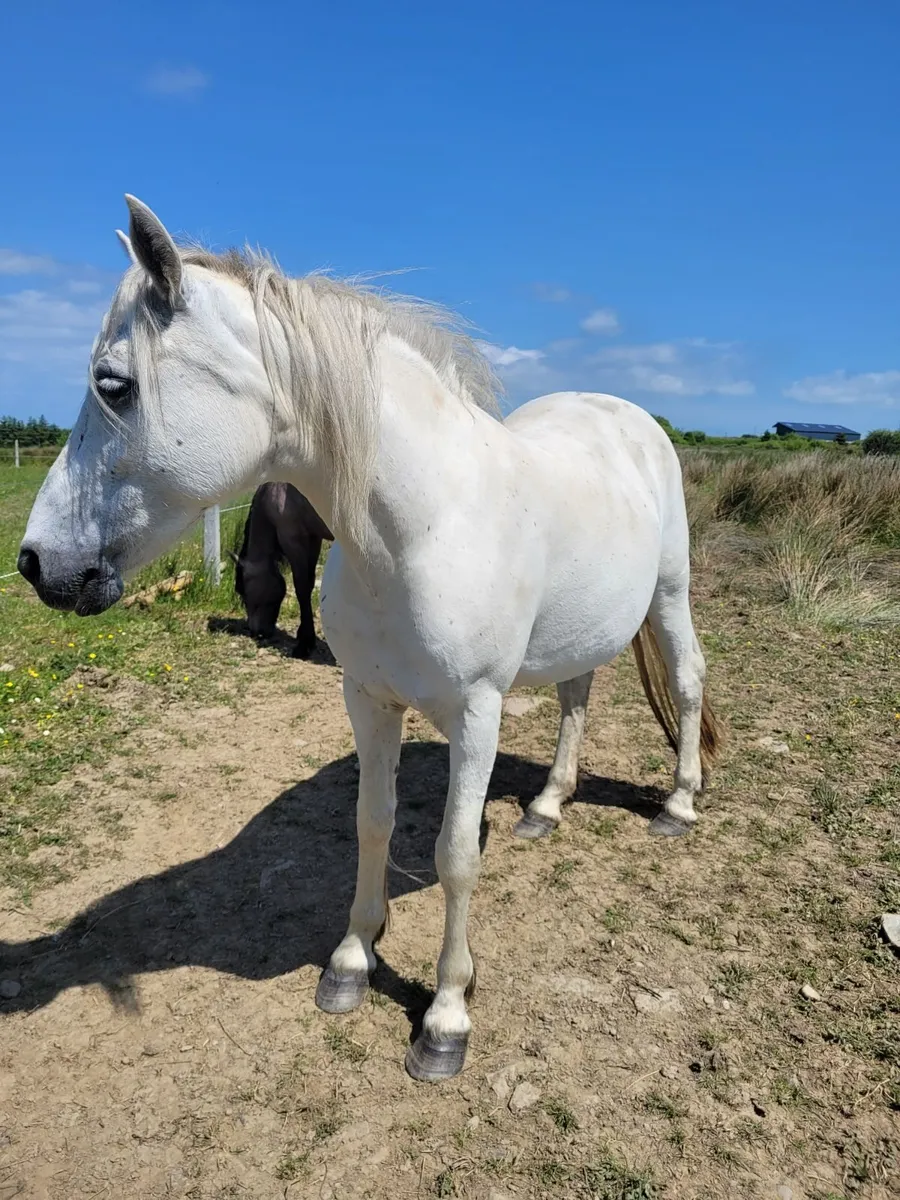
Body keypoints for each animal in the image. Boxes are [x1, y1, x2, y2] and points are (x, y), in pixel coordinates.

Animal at [233, 482, 332, 658]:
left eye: (241, 590)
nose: (255, 631)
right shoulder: (314, 537)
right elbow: (310, 583)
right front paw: (303, 633)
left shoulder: (292, 538)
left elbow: (302, 589)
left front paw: (304, 644)